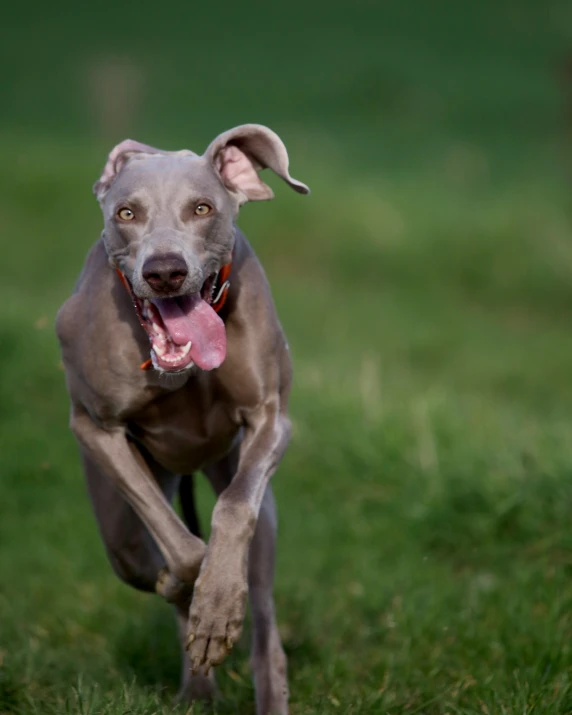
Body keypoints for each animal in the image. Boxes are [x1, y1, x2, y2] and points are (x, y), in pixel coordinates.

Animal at [54, 126, 308, 712]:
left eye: (202, 208)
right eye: (126, 212)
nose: (165, 271)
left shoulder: (270, 418)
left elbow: (233, 511)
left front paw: (217, 610)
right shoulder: (96, 429)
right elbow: (184, 548)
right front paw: (188, 591)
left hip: (249, 497)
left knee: (263, 611)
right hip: (119, 526)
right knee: (140, 555)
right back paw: (196, 684)